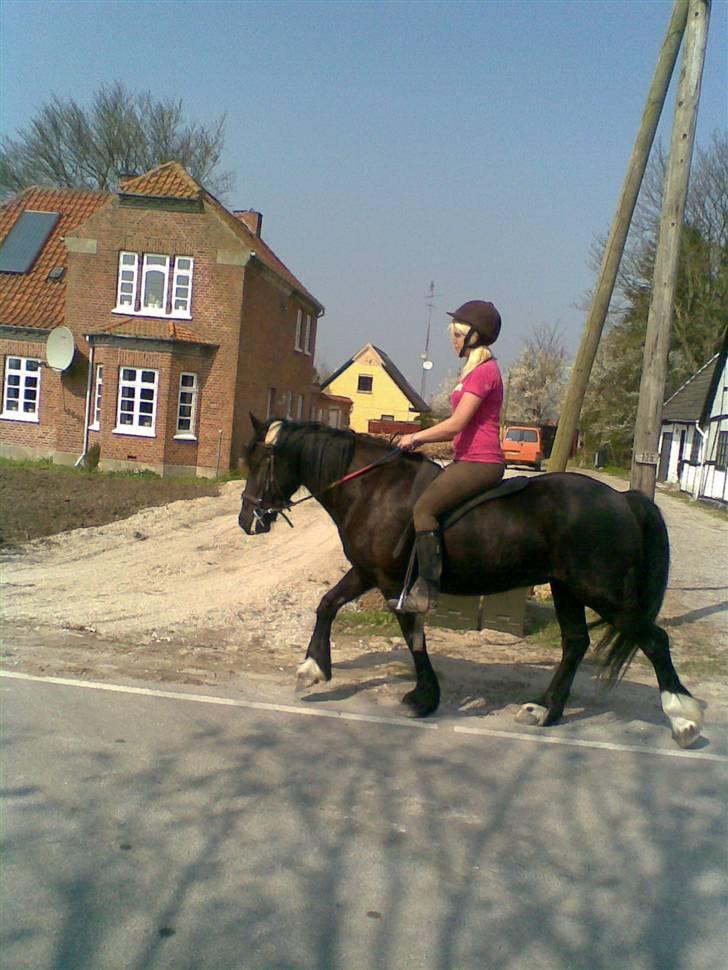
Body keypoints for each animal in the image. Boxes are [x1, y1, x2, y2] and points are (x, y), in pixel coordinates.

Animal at [238, 416, 703, 749]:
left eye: (262, 462)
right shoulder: (368, 572)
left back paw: (683, 717)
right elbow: (327, 604)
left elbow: (414, 637)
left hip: (602, 592)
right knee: (575, 643)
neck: (374, 490)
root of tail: (623, 500)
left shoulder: (392, 582)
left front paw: (424, 698)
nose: (247, 520)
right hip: (567, 588)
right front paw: (312, 669)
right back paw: (545, 711)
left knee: (654, 640)